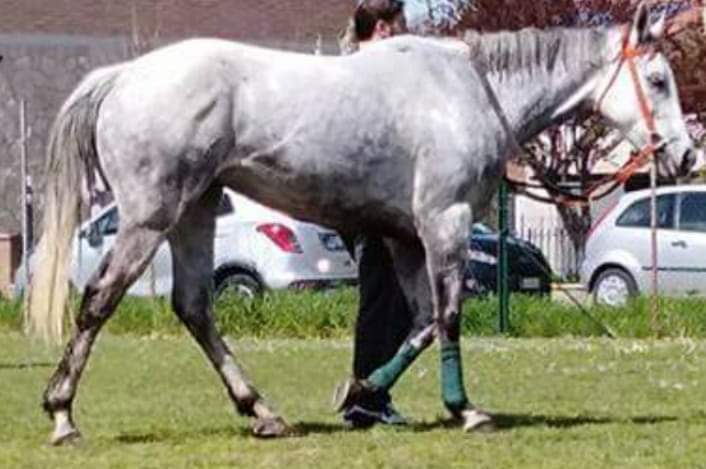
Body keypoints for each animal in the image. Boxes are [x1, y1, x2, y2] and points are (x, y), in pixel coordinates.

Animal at [27, 2, 695, 444]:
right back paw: (62, 414)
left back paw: (261, 411)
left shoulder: (405, 238)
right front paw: (463, 408)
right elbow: (449, 316)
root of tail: (123, 76)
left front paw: (362, 392)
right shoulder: (445, 224)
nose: (687, 156)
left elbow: (421, 323)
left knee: (194, 306)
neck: (470, 92)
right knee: (99, 300)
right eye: (658, 80)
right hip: (151, 217)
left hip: (195, 211)